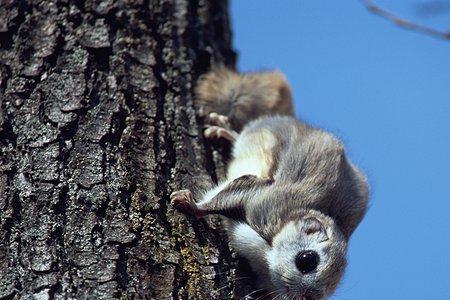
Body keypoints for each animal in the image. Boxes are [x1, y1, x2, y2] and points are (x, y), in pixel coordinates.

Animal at [171, 66, 368, 300]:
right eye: (307, 260)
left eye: (331, 289)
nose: (307, 297)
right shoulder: (263, 205)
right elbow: (225, 197)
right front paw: (190, 204)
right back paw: (225, 130)